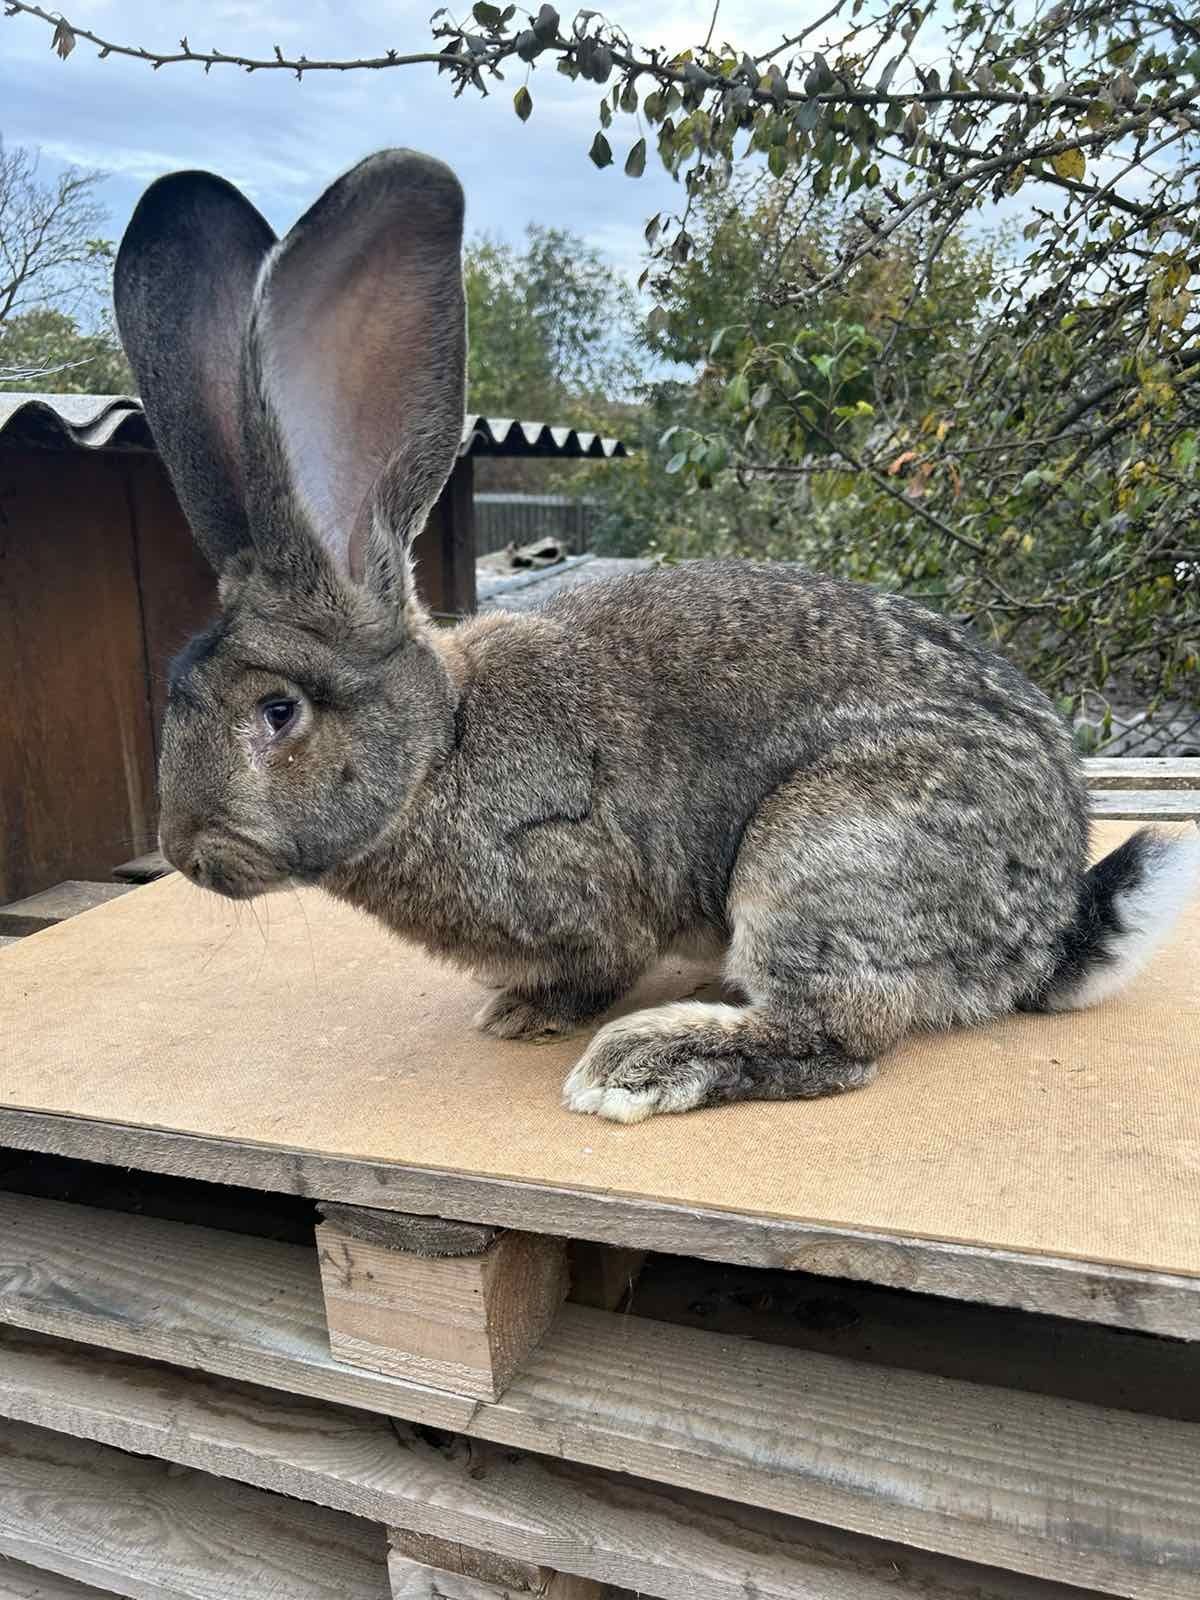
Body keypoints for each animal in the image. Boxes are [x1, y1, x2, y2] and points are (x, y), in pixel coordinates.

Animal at [115, 150, 1200, 1126]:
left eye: (278, 711)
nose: (185, 850)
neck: (438, 751)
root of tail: (1045, 929)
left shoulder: (583, 883)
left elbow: (599, 964)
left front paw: (527, 1014)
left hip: (820, 851)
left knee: (838, 1041)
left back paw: (639, 1063)